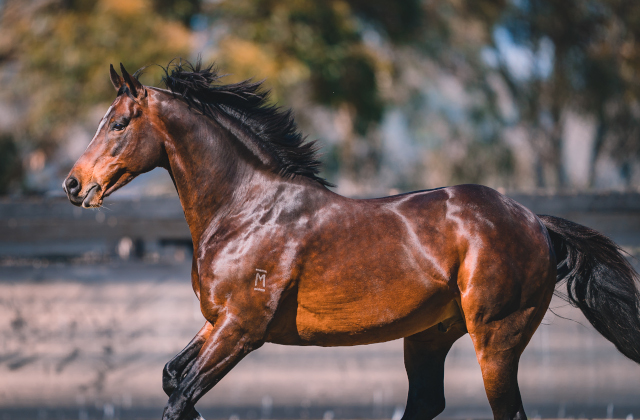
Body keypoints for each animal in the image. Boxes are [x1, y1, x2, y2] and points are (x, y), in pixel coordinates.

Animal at [63, 61, 640, 420]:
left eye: (118, 124)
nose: (73, 185)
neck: (243, 210)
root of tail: (535, 222)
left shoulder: (242, 329)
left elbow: (180, 397)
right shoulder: (217, 321)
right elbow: (171, 377)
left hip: (496, 338)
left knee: (506, 410)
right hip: (429, 336)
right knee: (426, 403)